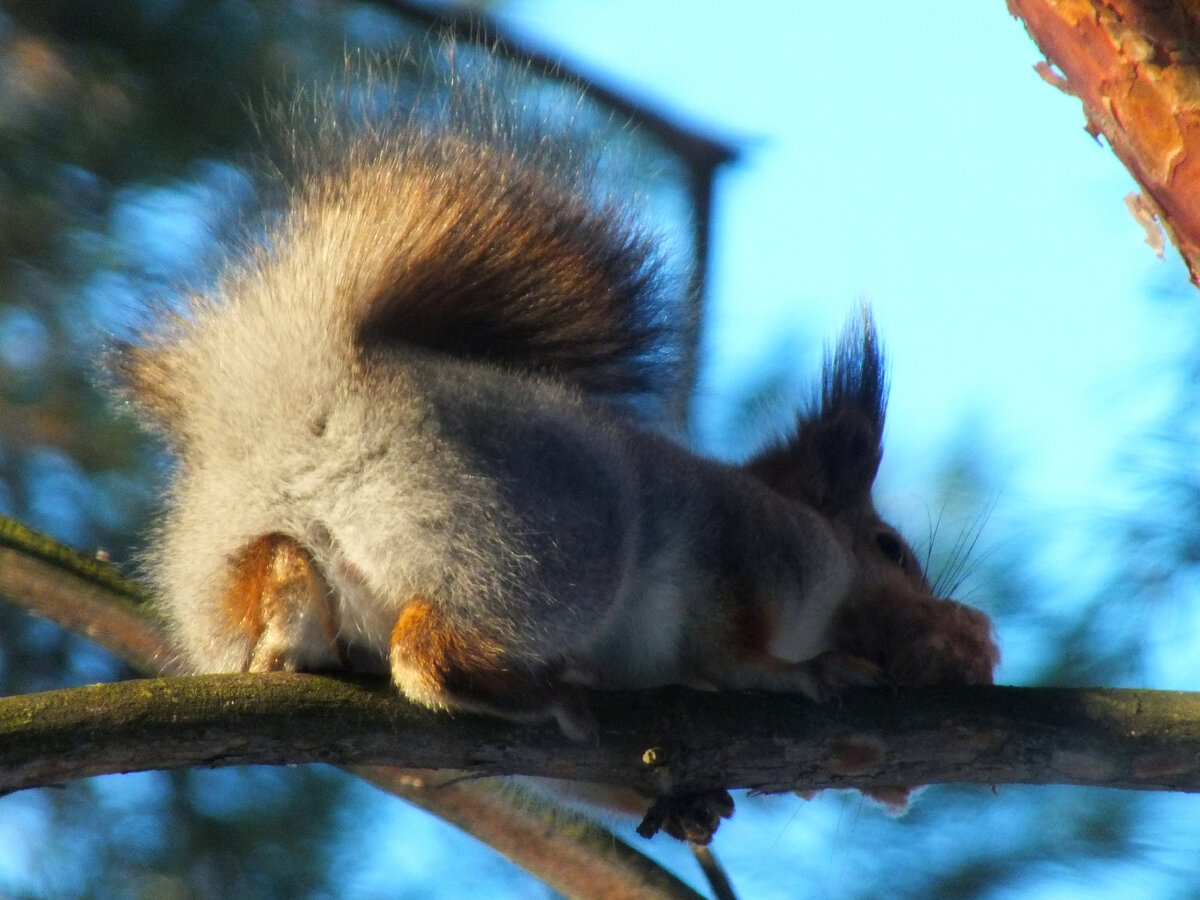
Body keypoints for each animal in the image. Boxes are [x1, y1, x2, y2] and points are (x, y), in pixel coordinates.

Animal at [114, 52, 993, 844]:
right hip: (541, 543)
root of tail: (313, 417)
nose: (964, 630)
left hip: (250, 567)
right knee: (425, 655)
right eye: (890, 547)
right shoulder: (747, 553)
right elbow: (735, 646)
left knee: (288, 582)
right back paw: (536, 691)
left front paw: (690, 802)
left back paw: (285, 638)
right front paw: (800, 673)